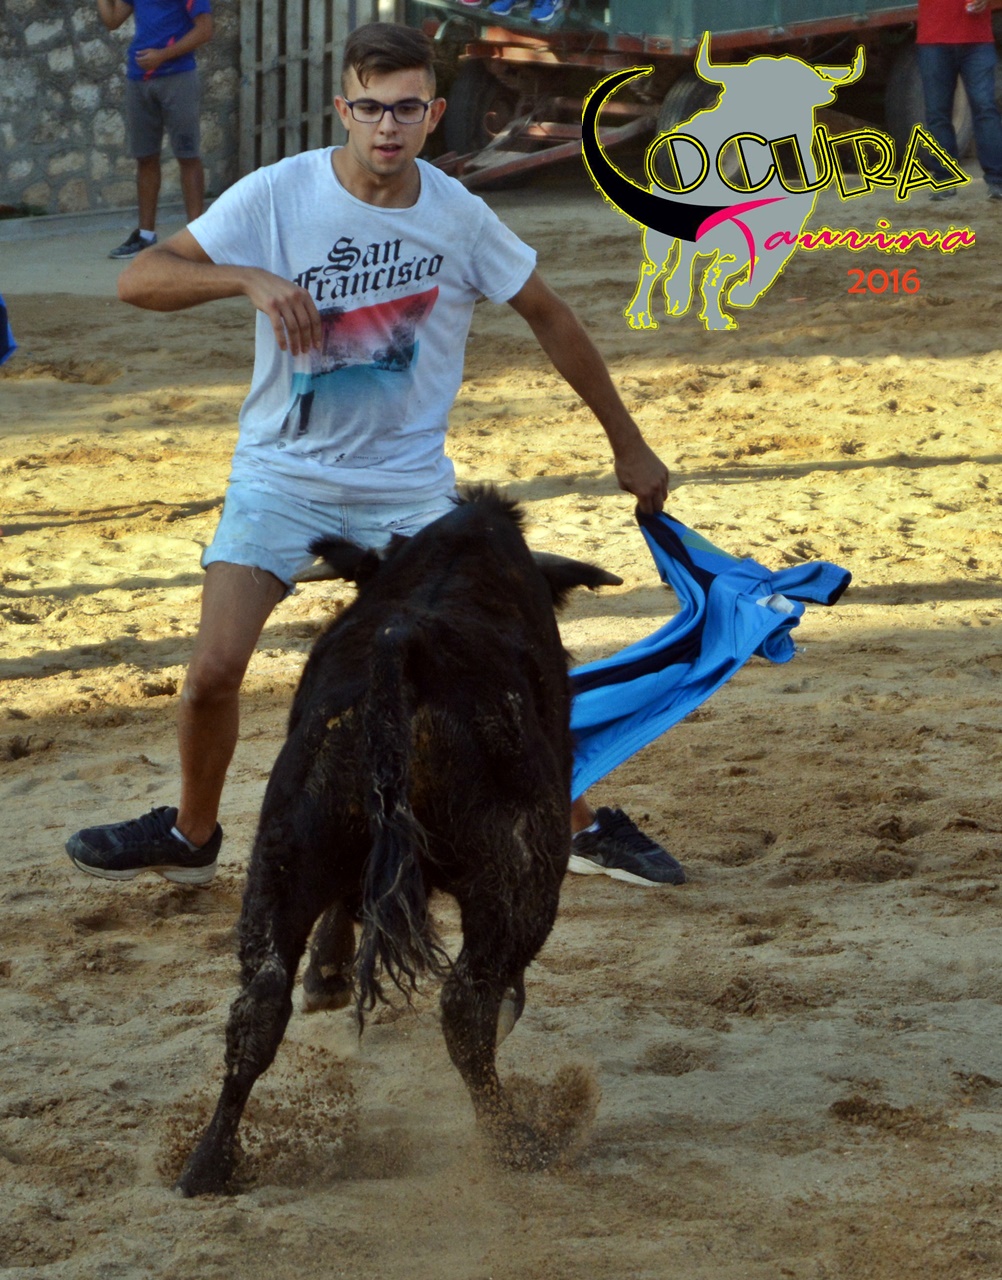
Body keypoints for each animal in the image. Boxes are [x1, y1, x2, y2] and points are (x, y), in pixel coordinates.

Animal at [176, 487, 622, 1196]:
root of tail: (404, 646)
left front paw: (325, 974)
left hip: (282, 851)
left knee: (258, 1006)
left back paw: (206, 1166)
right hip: (521, 875)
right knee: (466, 1006)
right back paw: (520, 1141)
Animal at [582, 34, 864, 331]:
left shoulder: (780, 228)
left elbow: (736, 270)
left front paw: (735, 299)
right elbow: (708, 271)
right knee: (655, 266)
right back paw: (646, 313)